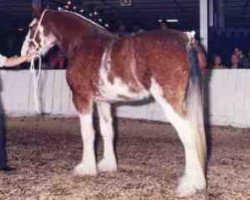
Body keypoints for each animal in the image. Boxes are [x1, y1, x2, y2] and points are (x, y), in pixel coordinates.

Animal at [20, 9, 207, 197]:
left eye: (31, 27)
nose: (23, 54)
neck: (82, 42)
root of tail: (187, 39)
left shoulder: (82, 98)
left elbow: (88, 132)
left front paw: (86, 168)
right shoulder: (103, 101)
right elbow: (107, 131)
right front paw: (107, 165)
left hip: (169, 100)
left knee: (188, 134)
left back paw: (189, 185)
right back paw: (198, 182)